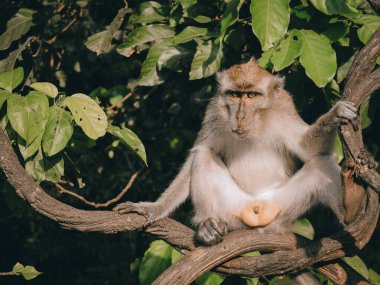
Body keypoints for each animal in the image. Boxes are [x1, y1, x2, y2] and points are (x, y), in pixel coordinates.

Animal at [114, 58, 358, 246]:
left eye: (251, 95)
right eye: (234, 94)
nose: (239, 116)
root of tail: (256, 212)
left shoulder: (283, 106)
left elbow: (307, 149)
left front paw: (335, 115)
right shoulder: (214, 112)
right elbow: (199, 152)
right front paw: (154, 208)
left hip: (282, 210)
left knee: (320, 163)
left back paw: (350, 208)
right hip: (232, 210)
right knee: (203, 156)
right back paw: (207, 225)